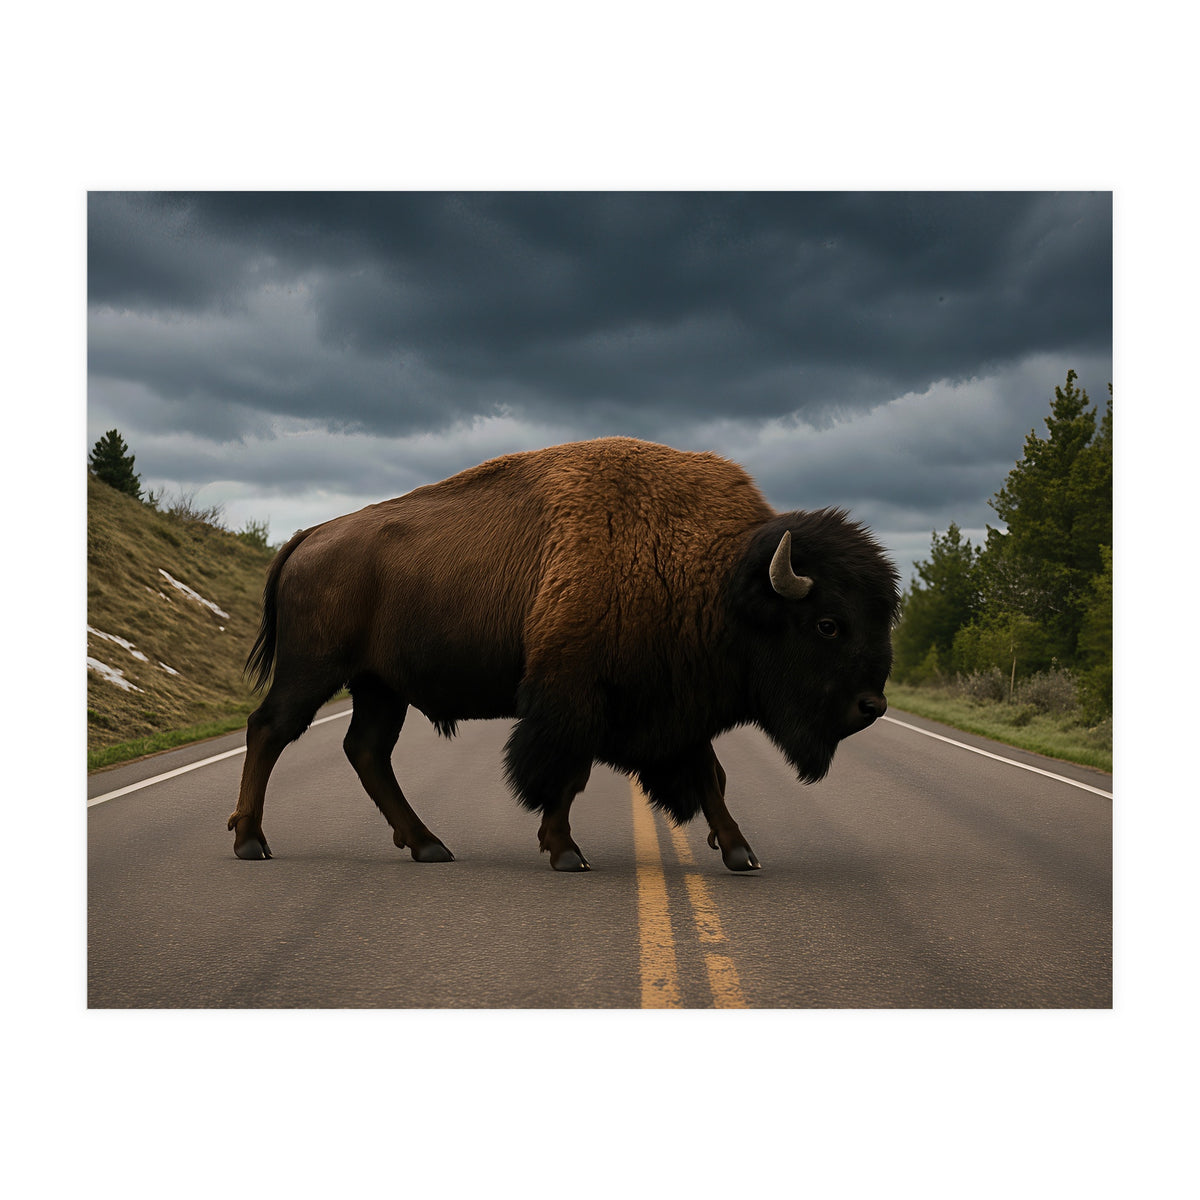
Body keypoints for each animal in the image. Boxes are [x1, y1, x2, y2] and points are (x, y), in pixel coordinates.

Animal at [229, 437, 901, 871]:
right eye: (828, 625)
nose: (871, 706)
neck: (717, 576)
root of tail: (309, 535)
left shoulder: (673, 707)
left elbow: (708, 774)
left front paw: (740, 851)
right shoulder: (576, 696)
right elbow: (567, 772)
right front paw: (566, 852)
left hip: (379, 687)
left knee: (366, 751)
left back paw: (428, 846)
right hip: (315, 670)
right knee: (269, 729)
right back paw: (251, 842)